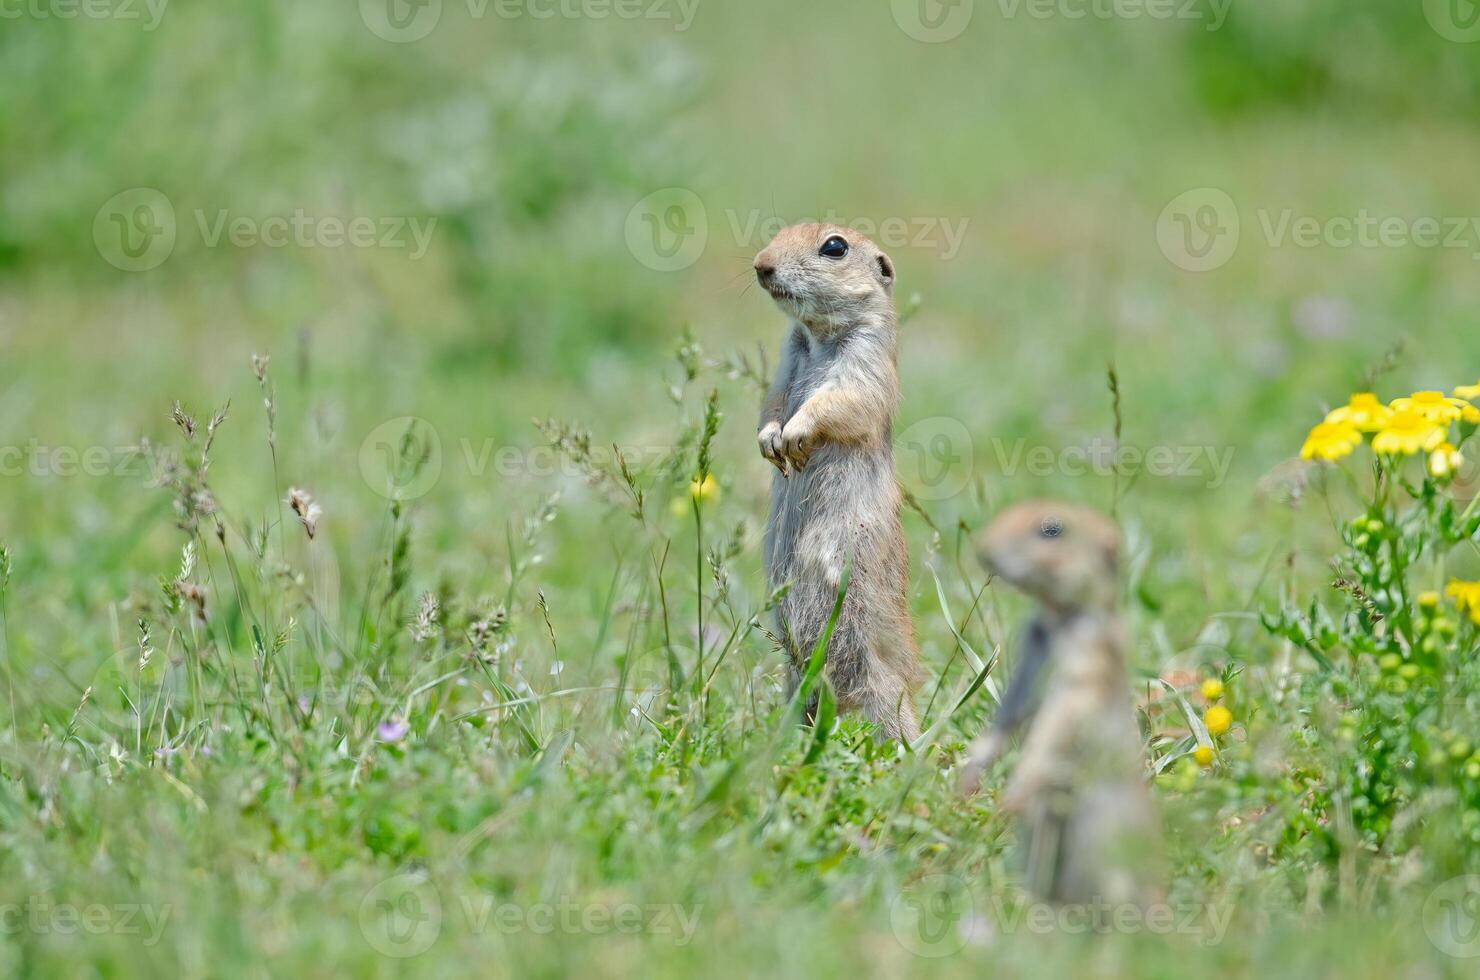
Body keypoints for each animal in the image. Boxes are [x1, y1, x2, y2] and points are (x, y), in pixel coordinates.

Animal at [757, 222, 917, 746]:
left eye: (834, 246)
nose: (760, 265)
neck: (816, 336)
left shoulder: (866, 359)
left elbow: (843, 398)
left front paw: (796, 434)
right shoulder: (784, 364)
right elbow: (771, 402)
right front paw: (771, 441)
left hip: (876, 675)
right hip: (795, 679)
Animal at [964, 503, 1160, 911]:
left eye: (1052, 530)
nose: (983, 547)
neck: (1057, 618)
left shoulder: (1088, 658)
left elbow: (1060, 718)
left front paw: (1012, 795)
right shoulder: (1031, 645)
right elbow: (1012, 710)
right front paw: (969, 774)